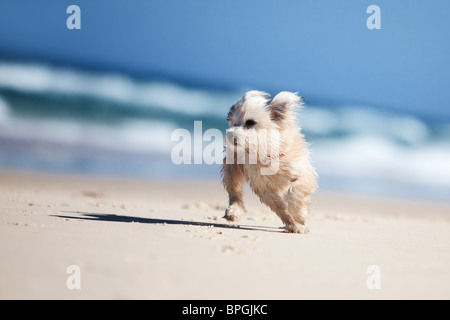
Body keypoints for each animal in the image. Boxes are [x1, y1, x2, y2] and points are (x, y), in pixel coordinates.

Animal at [221, 90, 316, 232]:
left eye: (250, 122)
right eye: (234, 123)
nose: (229, 134)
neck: (266, 154)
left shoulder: (303, 173)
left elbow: (295, 192)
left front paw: (299, 216)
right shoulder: (264, 188)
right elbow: (281, 208)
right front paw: (294, 224)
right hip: (231, 169)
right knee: (234, 192)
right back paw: (234, 211)